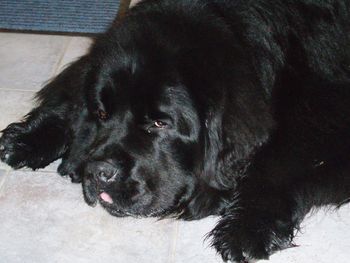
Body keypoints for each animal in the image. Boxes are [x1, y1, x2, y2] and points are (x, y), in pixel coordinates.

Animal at [0, 1, 350, 262]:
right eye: (101, 114)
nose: (98, 173)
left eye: (160, 123)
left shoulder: (324, 116)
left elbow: (279, 165)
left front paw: (246, 228)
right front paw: (28, 139)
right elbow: (70, 97)